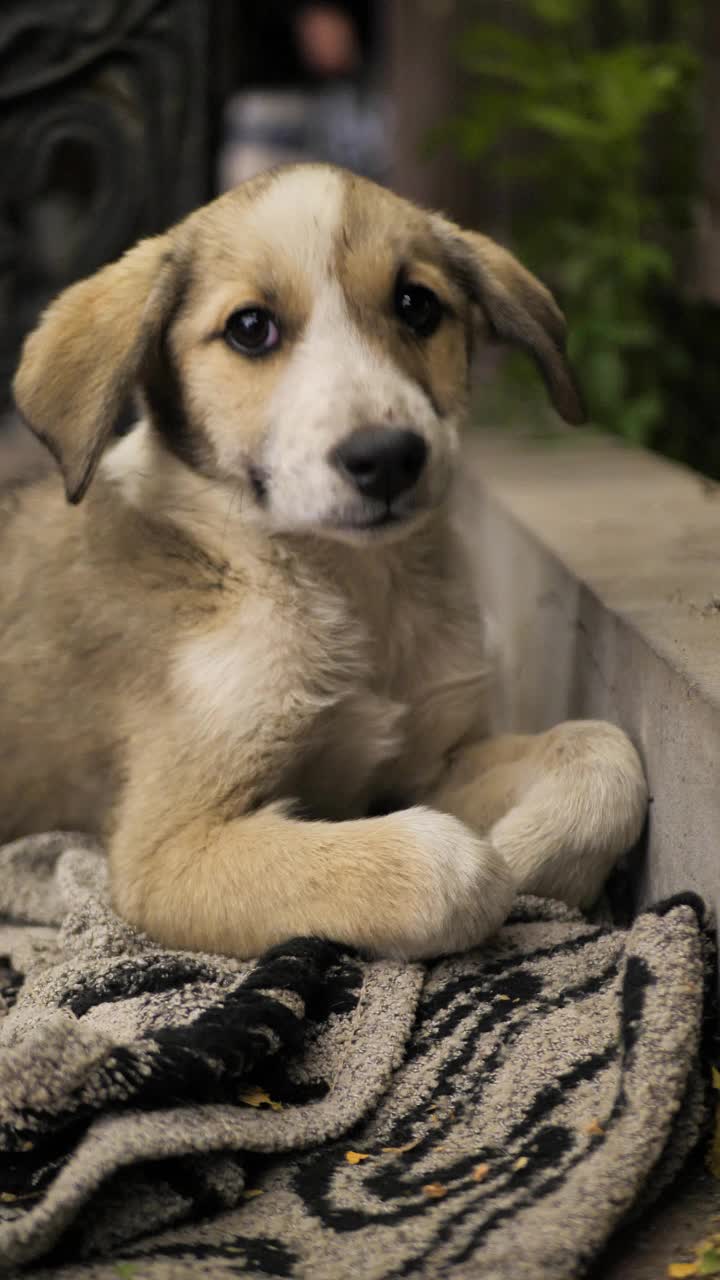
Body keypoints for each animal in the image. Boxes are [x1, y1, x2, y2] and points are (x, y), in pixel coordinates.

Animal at [4, 165, 645, 957]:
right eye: (250, 328)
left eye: (417, 304)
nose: (388, 458)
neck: (347, 588)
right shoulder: (166, 848)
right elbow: (448, 868)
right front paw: (496, 865)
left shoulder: (427, 761)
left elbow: (602, 752)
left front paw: (532, 851)